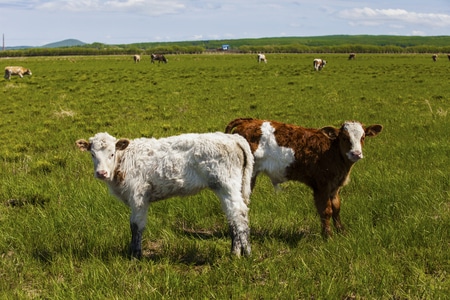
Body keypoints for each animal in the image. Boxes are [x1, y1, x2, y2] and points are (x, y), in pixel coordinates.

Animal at [77, 131, 253, 258]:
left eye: (112, 153)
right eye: (92, 154)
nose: (101, 173)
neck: (123, 162)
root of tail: (232, 138)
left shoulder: (138, 196)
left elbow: (136, 225)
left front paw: (136, 255)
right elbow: (134, 225)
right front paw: (132, 252)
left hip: (226, 185)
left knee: (239, 214)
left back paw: (247, 254)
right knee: (233, 217)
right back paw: (235, 253)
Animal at [225, 118, 384, 238]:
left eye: (363, 137)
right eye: (345, 138)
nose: (356, 153)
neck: (332, 152)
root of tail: (248, 121)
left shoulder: (334, 187)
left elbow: (336, 208)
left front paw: (342, 232)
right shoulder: (321, 186)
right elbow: (326, 211)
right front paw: (328, 237)